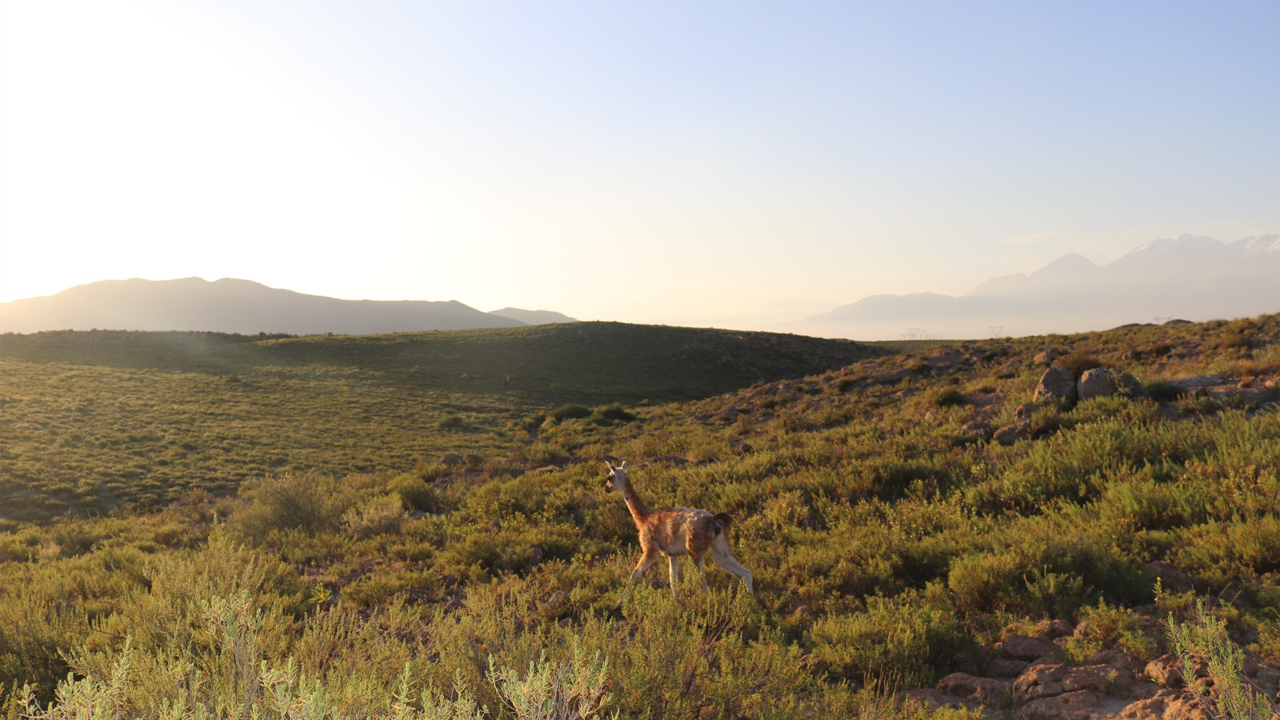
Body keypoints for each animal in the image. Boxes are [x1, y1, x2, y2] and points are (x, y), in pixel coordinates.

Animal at [605, 461, 754, 609]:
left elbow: (634, 572)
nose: (606, 489)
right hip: (719, 549)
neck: (644, 518)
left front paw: (617, 605)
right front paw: (676, 604)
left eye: (609, 477)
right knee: (745, 573)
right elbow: (673, 580)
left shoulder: (650, 549)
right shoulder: (672, 554)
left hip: (695, 551)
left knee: (704, 586)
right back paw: (751, 602)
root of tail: (712, 521)